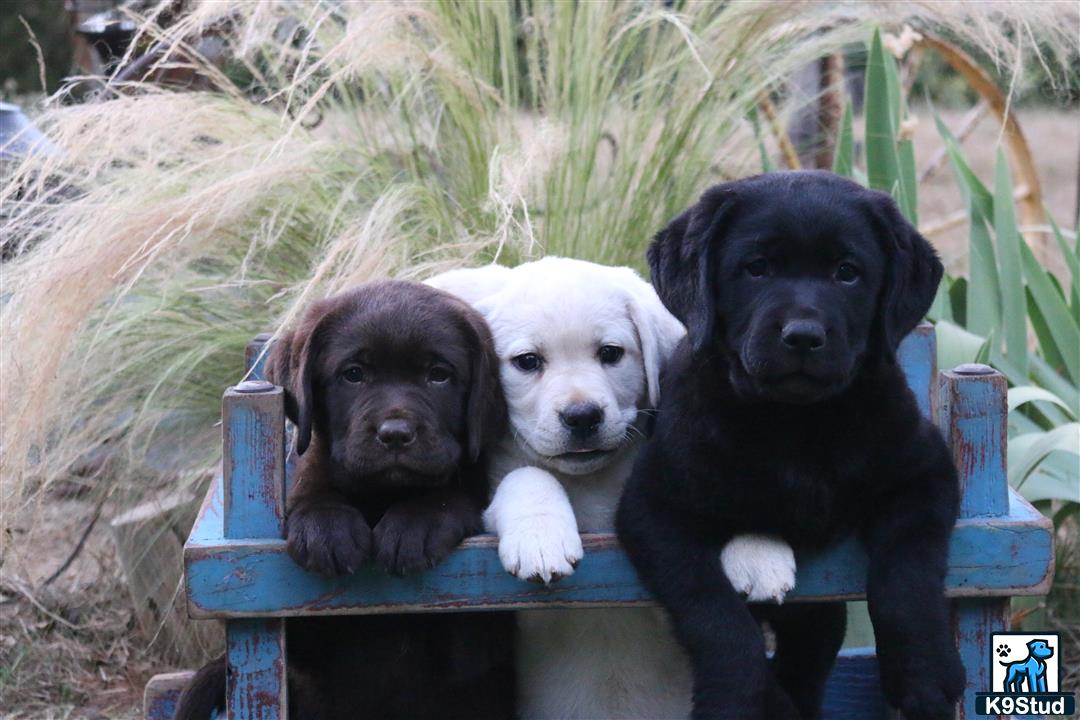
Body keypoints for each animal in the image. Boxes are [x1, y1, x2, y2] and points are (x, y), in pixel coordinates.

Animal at [172, 280, 514, 720]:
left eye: (439, 375)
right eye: (354, 374)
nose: (396, 434)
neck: (381, 495)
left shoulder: (477, 637)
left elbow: (450, 495)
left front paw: (413, 525)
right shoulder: (297, 630)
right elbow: (315, 492)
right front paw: (326, 530)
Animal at [427, 259, 794, 720]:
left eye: (610, 353)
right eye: (527, 362)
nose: (582, 415)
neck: (591, 484)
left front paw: (757, 547)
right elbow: (528, 476)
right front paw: (541, 539)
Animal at [617, 171, 963, 716]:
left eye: (847, 273)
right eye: (756, 268)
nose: (803, 335)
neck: (795, 424)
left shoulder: (923, 472)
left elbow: (905, 574)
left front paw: (923, 673)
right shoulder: (654, 509)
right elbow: (714, 611)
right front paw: (733, 696)